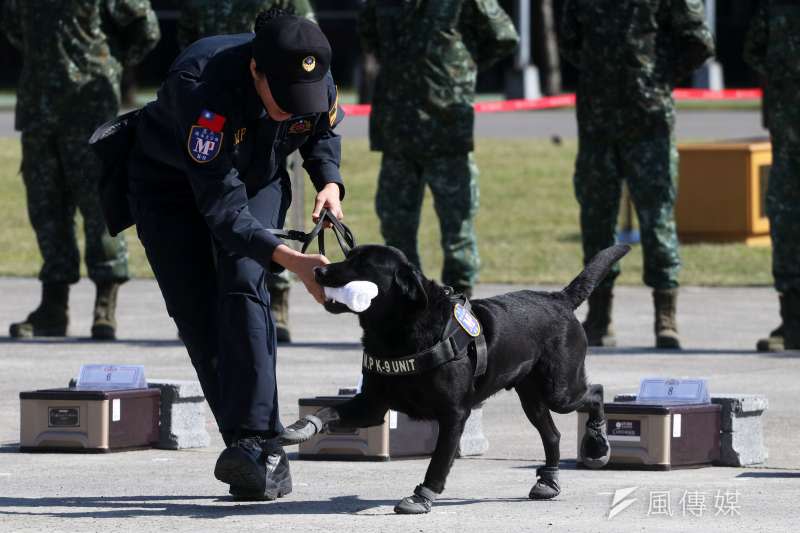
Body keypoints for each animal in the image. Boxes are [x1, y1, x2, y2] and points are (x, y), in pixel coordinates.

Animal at [282, 243, 632, 512]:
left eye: (363, 264)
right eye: (348, 255)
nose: (318, 271)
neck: (399, 332)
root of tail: (559, 299)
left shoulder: (454, 414)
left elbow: (438, 460)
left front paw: (422, 496)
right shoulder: (372, 405)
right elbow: (329, 410)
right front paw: (302, 427)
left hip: (559, 389)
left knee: (595, 392)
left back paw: (598, 443)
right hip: (532, 396)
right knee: (554, 435)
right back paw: (549, 480)